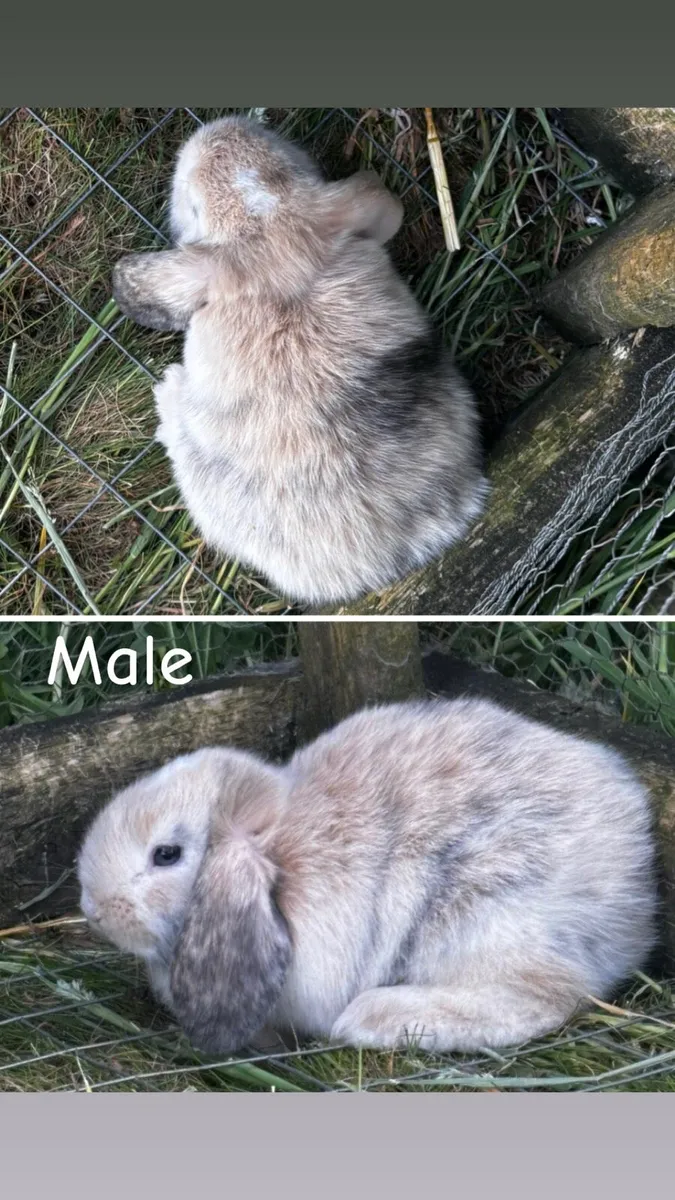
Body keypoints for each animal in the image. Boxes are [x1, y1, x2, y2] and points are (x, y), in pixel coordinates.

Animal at [77, 697, 657, 1056]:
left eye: (166, 854)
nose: (92, 907)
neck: (273, 846)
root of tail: (636, 882)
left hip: (488, 913)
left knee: (548, 998)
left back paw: (375, 1018)